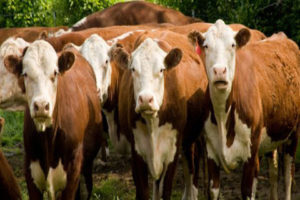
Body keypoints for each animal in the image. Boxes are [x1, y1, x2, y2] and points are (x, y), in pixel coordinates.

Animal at [3, 40, 104, 198]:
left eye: (55, 73)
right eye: (25, 74)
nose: (41, 105)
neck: (47, 139)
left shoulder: (73, 173)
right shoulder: (30, 171)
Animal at [112, 30, 209, 199]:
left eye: (161, 69)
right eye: (133, 69)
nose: (145, 99)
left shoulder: (172, 151)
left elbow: (166, 190)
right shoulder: (136, 150)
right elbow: (143, 191)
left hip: (191, 139)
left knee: (192, 166)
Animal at [189, 19, 298, 200]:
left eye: (232, 45)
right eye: (206, 46)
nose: (220, 71)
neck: (223, 115)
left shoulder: (251, 152)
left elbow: (247, 190)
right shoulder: (211, 150)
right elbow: (214, 190)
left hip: (294, 133)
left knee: (288, 175)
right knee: (274, 171)